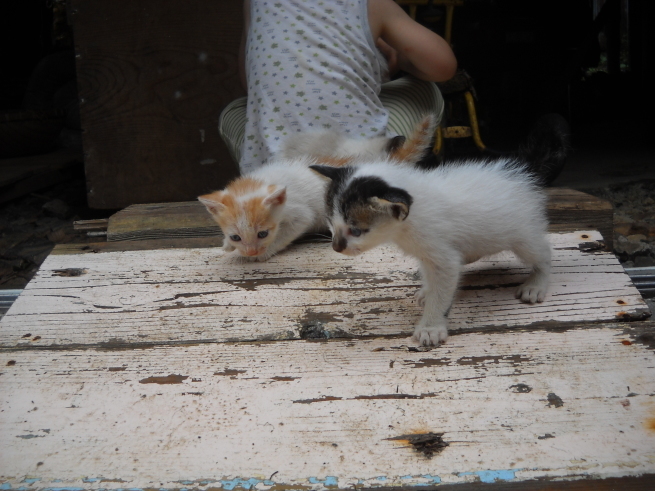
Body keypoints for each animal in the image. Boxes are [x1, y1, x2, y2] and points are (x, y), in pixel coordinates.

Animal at [197, 114, 438, 262]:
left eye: (262, 234)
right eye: (236, 236)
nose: (251, 250)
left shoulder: (300, 214)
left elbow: (287, 233)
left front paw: (263, 253)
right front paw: (228, 245)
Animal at [312, 116, 568, 346]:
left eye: (356, 231)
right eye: (331, 224)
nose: (336, 247)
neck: (406, 226)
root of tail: (522, 172)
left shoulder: (441, 256)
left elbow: (443, 290)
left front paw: (431, 327)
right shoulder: (428, 253)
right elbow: (432, 276)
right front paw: (427, 291)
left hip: (523, 234)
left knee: (543, 253)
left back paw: (536, 285)